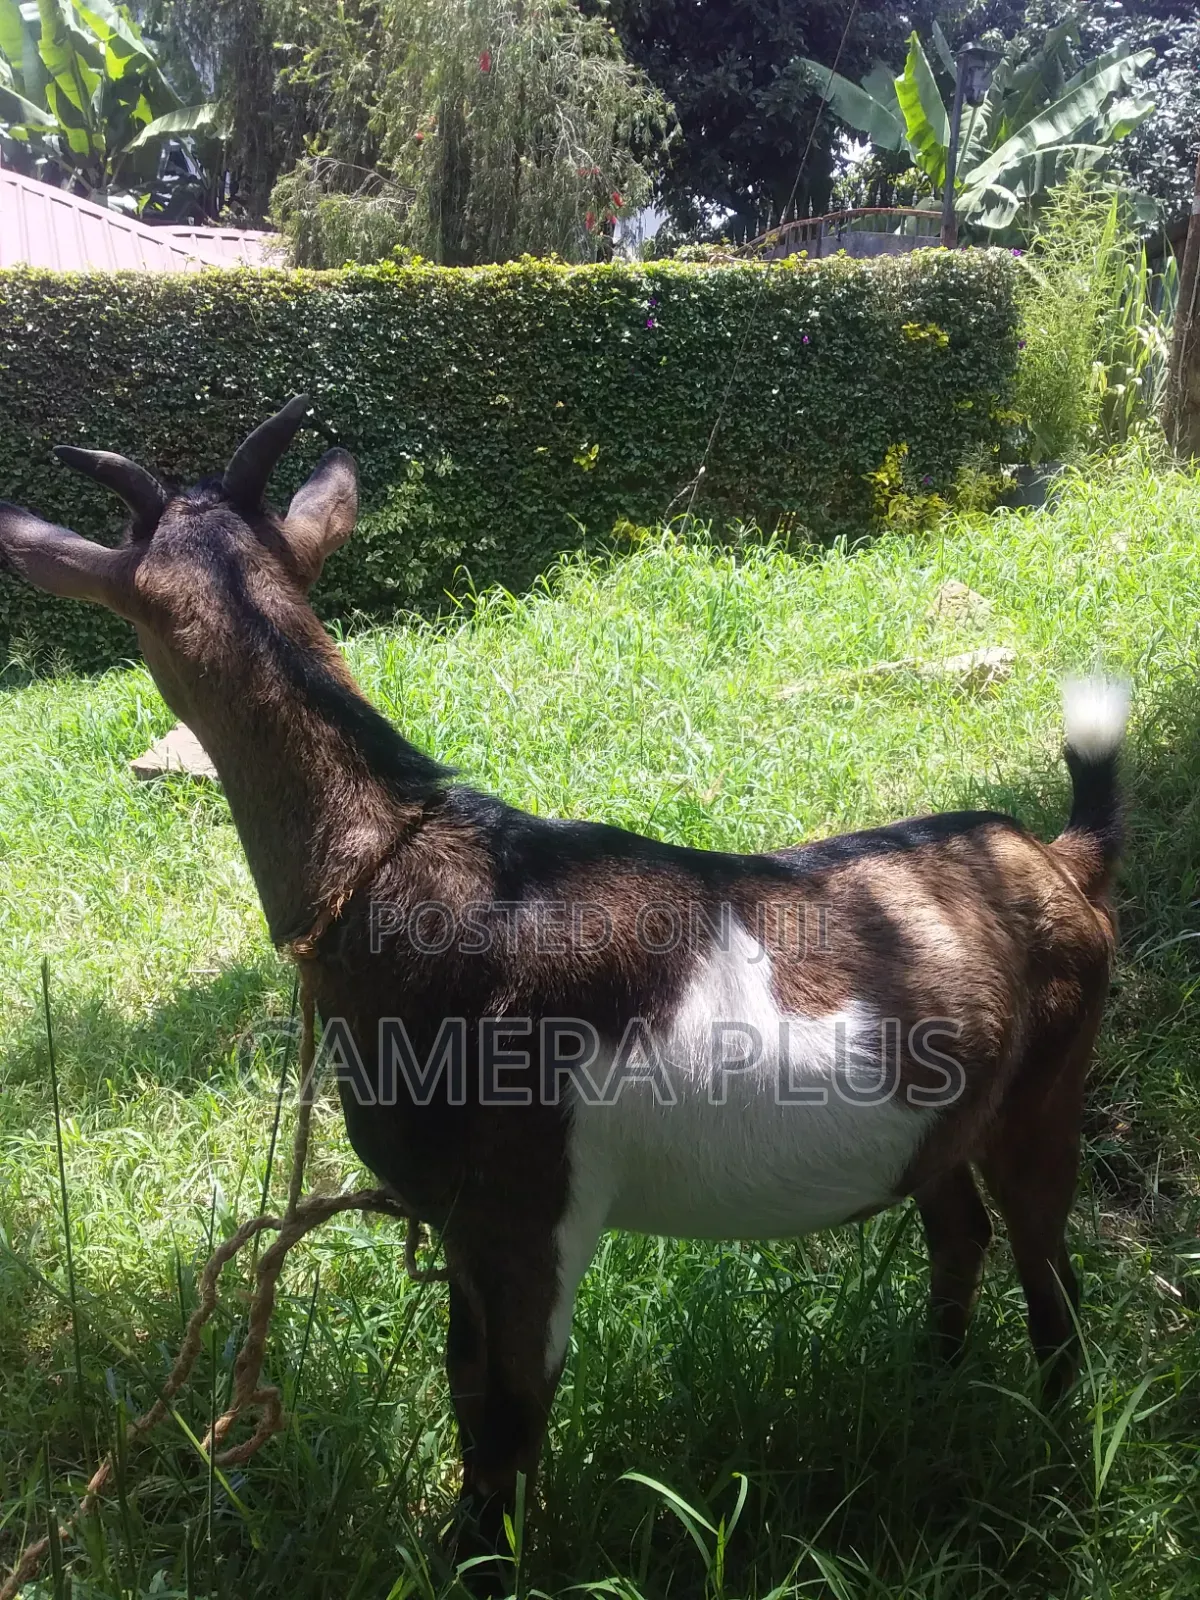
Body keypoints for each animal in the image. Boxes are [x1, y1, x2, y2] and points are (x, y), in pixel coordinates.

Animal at [0, 399, 1127, 1573]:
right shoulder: (457, 1222)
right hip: (938, 1117)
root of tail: (1057, 857)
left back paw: (1052, 1442)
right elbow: (468, 1392)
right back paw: (926, 1386)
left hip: (1049, 1083)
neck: (417, 875)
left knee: (1048, 1267)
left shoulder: (529, 1208)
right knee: (959, 1232)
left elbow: (506, 1412)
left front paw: (480, 1566)